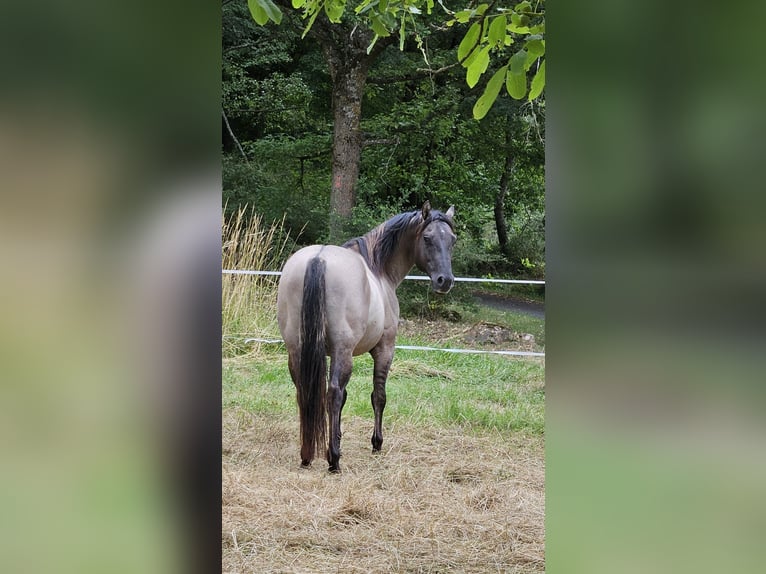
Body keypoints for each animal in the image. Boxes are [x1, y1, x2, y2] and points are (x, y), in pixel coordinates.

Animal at [277, 201, 457, 472]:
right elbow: (378, 396)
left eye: (452, 240)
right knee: (333, 394)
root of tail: (318, 259)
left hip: (296, 349)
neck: (378, 270)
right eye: (427, 238)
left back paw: (307, 455)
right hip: (343, 351)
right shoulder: (384, 349)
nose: (444, 281)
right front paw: (376, 443)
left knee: (305, 392)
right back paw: (334, 460)